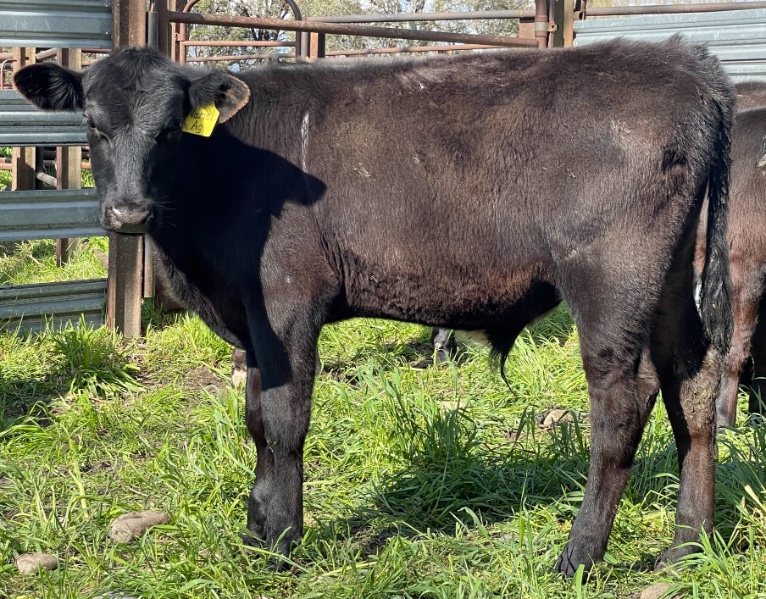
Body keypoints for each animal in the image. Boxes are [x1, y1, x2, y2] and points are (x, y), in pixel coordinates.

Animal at [13, 38, 732, 576]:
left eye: (169, 131)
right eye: (92, 124)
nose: (128, 213)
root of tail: (685, 64)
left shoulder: (287, 303)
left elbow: (285, 420)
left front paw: (281, 541)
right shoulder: (251, 320)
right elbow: (255, 418)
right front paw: (254, 528)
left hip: (610, 276)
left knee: (621, 404)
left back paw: (578, 556)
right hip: (673, 276)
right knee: (692, 382)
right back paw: (686, 546)